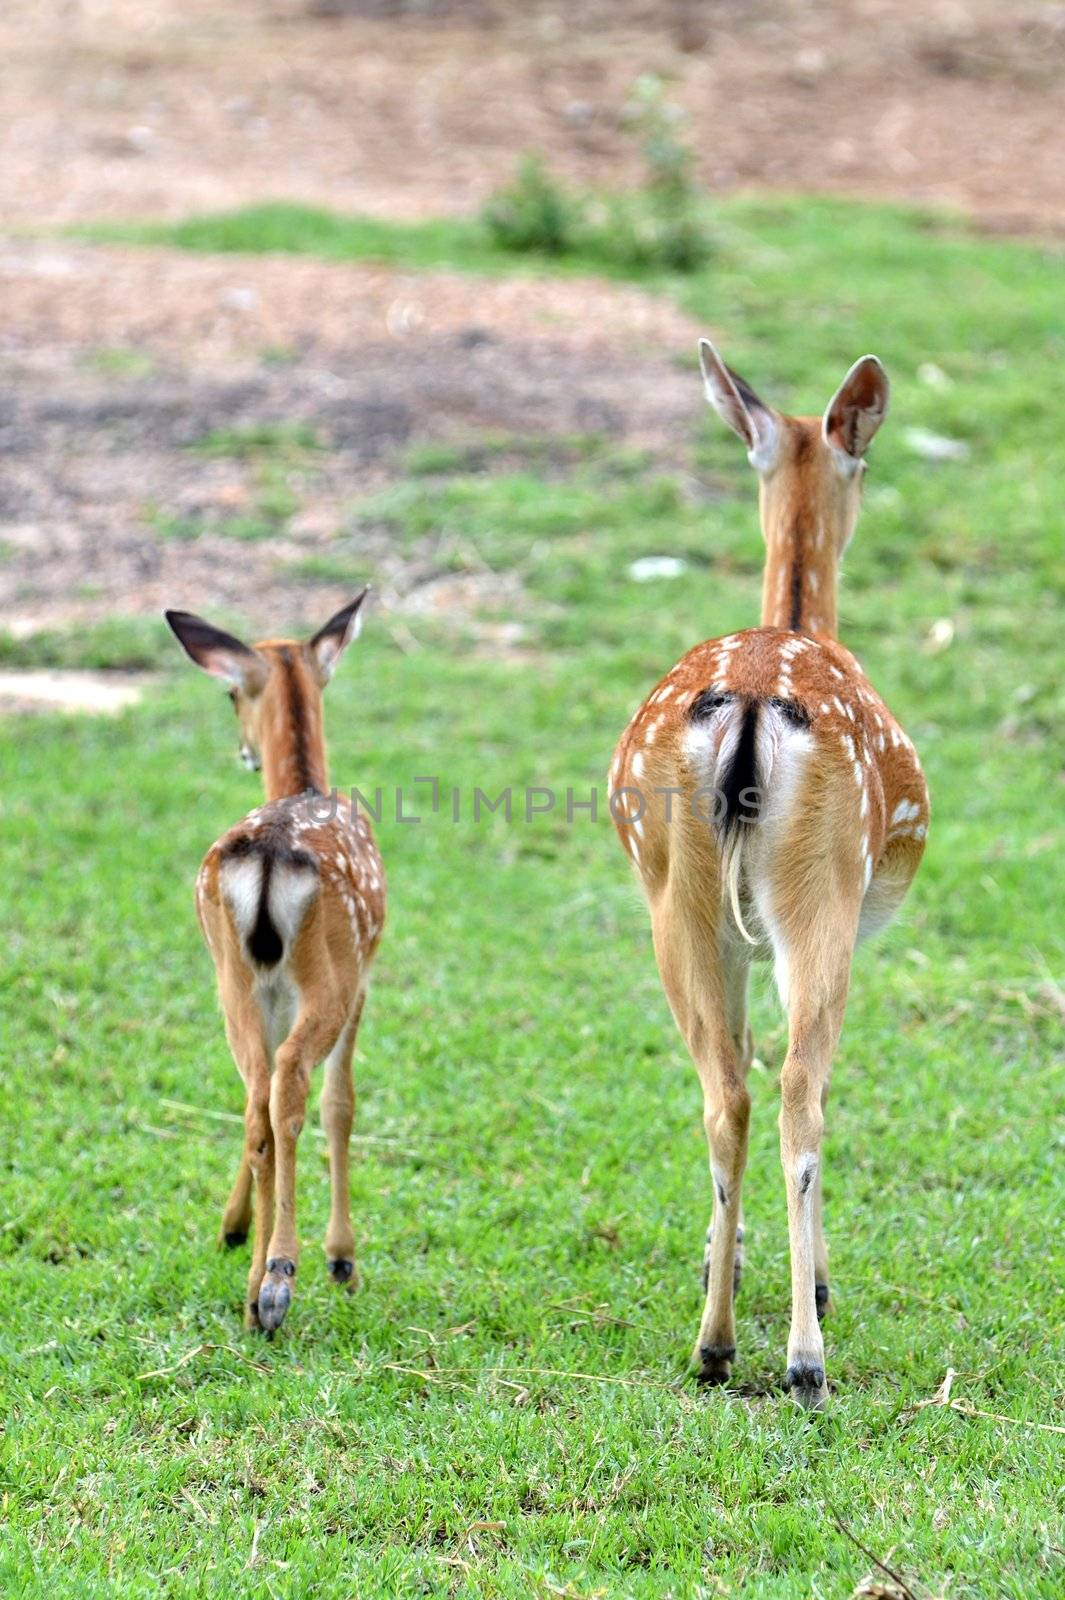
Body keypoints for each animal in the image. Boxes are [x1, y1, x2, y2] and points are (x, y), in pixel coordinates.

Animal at [163, 595, 383, 1331]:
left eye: (231, 692)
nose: (242, 750)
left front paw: (232, 1229)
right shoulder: (363, 978)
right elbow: (342, 1103)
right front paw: (342, 1259)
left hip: (232, 978)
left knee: (257, 1097)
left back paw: (254, 1284)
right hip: (326, 976)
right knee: (288, 1089)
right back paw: (281, 1277)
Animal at [610, 344, 927, 1408]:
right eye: (863, 465)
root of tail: (750, 703)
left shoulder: (736, 944)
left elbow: (739, 1060)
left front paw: (727, 1259)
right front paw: (813, 1280)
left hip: (682, 901)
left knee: (727, 1091)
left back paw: (712, 1340)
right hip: (816, 892)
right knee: (797, 1093)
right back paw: (801, 1355)